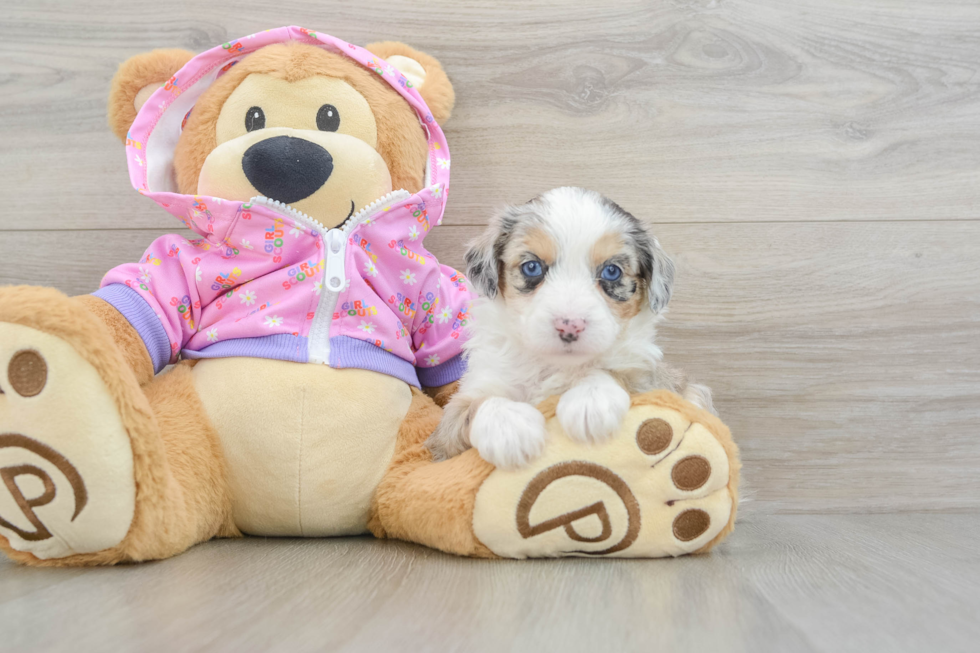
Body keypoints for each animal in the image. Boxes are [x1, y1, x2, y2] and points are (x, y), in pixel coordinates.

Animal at [428, 186, 712, 466]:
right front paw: (508, 427)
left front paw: (591, 399)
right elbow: (474, 404)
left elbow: (612, 372)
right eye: (532, 267)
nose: (570, 327)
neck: (554, 364)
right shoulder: (449, 430)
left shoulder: (648, 382)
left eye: (612, 272)